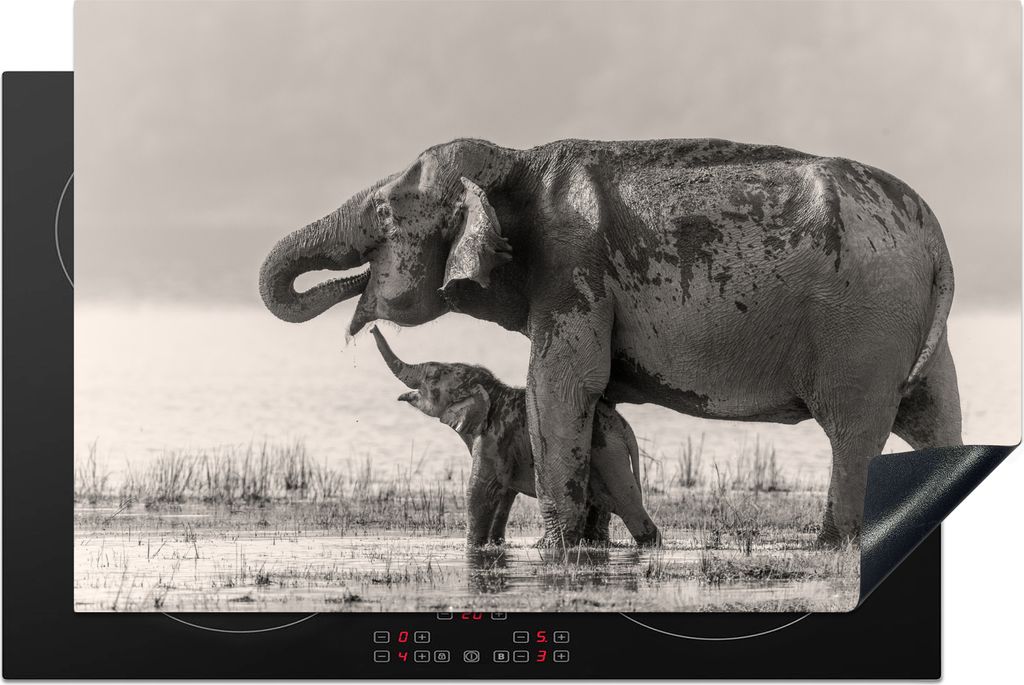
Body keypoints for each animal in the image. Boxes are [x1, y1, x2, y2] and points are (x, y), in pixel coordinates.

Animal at [369, 326, 660, 547]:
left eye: (432, 375)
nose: (371, 327)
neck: (493, 390)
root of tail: (625, 428)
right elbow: (505, 494)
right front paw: (495, 544)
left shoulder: (495, 437)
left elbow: (480, 489)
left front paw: (472, 546)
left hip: (609, 454)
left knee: (630, 506)